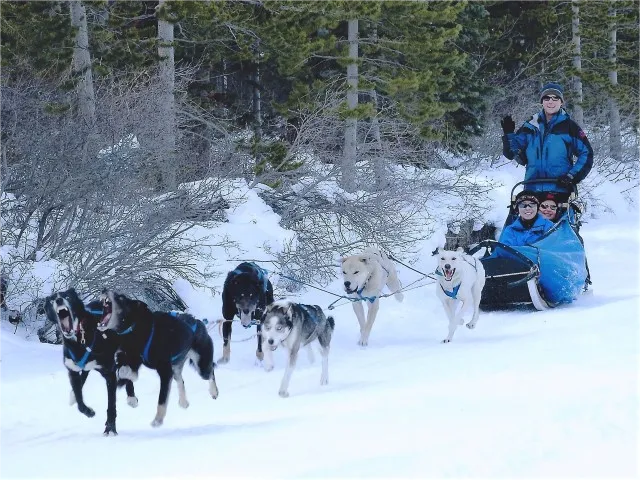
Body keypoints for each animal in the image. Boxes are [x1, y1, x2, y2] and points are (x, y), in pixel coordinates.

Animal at [43, 286, 138, 436]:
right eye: (52, 300)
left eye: (67, 297)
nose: (58, 300)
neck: (79, 339)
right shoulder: (73, 371)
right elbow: (80, 402)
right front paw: (88, 411)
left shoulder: (109, 374)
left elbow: (111, 405)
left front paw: (110, 429)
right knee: (84, 376)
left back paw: (131, 398)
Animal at [99, 288, 219, 428]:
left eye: (121, 298)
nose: (104, 290)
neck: (136, 329)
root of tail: (198, 322)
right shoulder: (129, 358)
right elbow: (125, 372)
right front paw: (131, 397)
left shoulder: (165, 372)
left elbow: (162, 399)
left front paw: (158, 420)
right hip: (176, 366)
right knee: (180, 380)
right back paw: (183, 402)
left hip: (201, 366)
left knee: (210, 372)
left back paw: (214, 392)